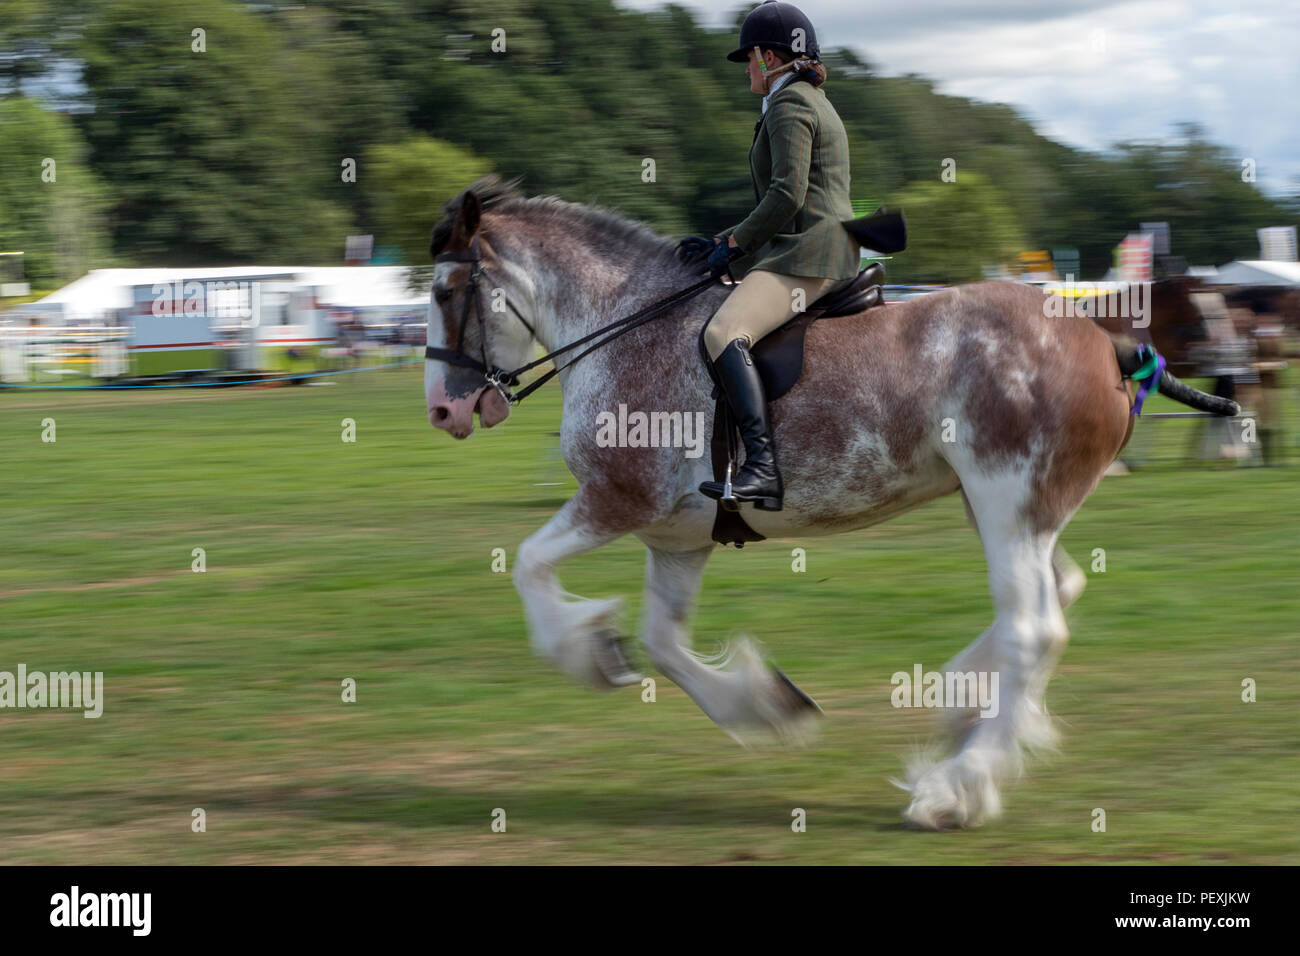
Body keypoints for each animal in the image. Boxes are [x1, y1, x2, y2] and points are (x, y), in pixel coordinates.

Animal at [421, 175, 1232, 827]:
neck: (623, 323)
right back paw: (959, 701)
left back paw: (956, 789)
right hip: (1009, 510)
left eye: (442, 293)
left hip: (1007, 503)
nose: (443, 412)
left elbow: (530, 566)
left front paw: (589, 651)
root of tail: (1107, 341)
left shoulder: (618, 497)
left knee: (1035, 629)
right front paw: (764, 705)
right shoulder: (679, 537)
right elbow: (665, 643)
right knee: (1054, 595)